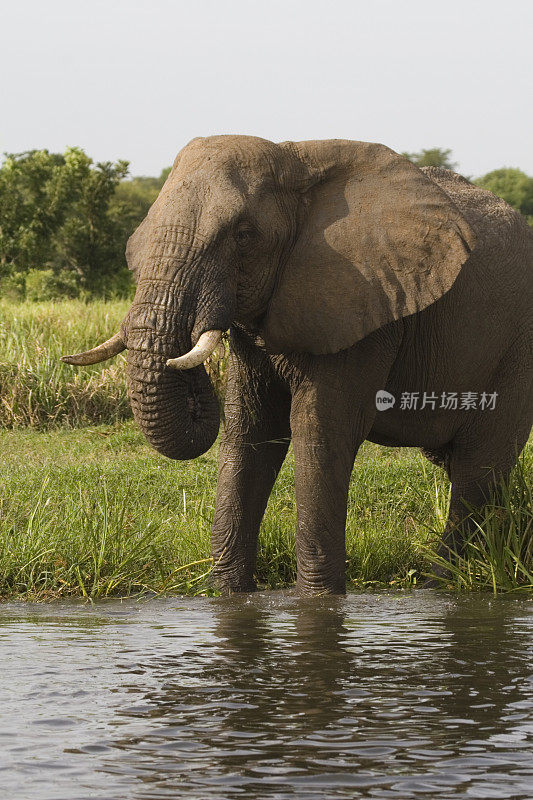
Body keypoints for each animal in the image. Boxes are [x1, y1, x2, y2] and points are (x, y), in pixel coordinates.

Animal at [63, 136, 532, 592]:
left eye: (243, 236)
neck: (295, 161)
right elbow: (250, 431)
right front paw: (228, 593)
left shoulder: (360, 304)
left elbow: (319, 432)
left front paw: (318, 600)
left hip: (516, 352)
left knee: (478, 470)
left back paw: (440, 585)